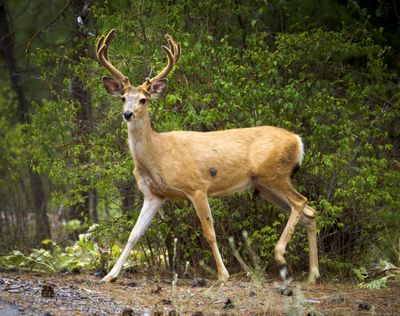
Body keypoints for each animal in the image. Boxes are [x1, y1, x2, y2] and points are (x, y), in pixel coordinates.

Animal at [95, 30, 320, 284]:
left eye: (144, 99)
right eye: (123, 98)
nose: (127, 114)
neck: (158, 154)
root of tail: (297, 140)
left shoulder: (197, 186)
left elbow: (209, 232)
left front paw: (223, 274)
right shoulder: (154, 194)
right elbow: (134, 234)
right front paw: (109, 276)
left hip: (275, 174)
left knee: (301, 202)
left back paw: (281, 256)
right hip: (264, 186)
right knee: (309, 212)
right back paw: (313, 274)